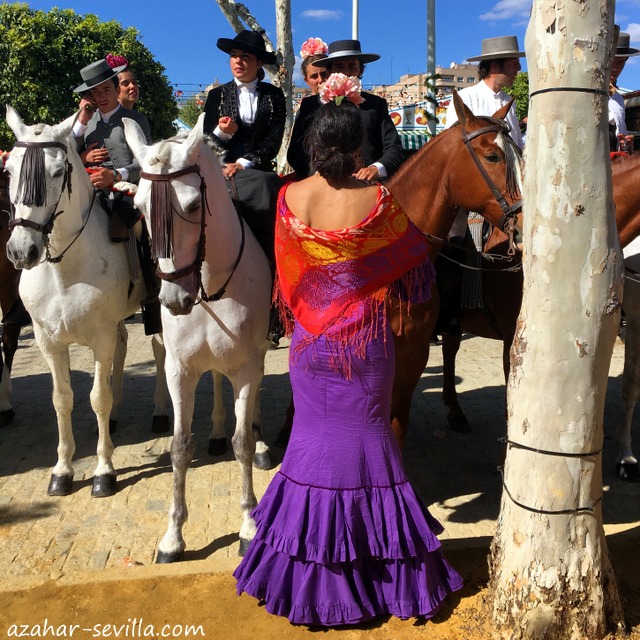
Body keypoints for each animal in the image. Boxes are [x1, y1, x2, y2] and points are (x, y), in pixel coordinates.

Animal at [4, 106, 168, 496]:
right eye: (9, 170)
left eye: (57, 172)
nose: (21, 250)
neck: (64, 269)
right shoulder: (48, 340)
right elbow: (62, 398)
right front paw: (62, 471)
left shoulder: (100, 336)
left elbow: (97, 397)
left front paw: (104, 470)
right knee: (123, 348)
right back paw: (118, 413)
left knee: (157, 351)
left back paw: (158, 412)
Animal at [124, 114, 272, 560]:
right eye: (138, 208)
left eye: (191, 206)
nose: (174, 299)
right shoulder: (180, 371)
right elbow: (178, 448)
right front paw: (173, 536)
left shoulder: (246, 367)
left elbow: (243, 443)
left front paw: (248, 525)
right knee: (217, 382)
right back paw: (218, 431)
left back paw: (259, 437)